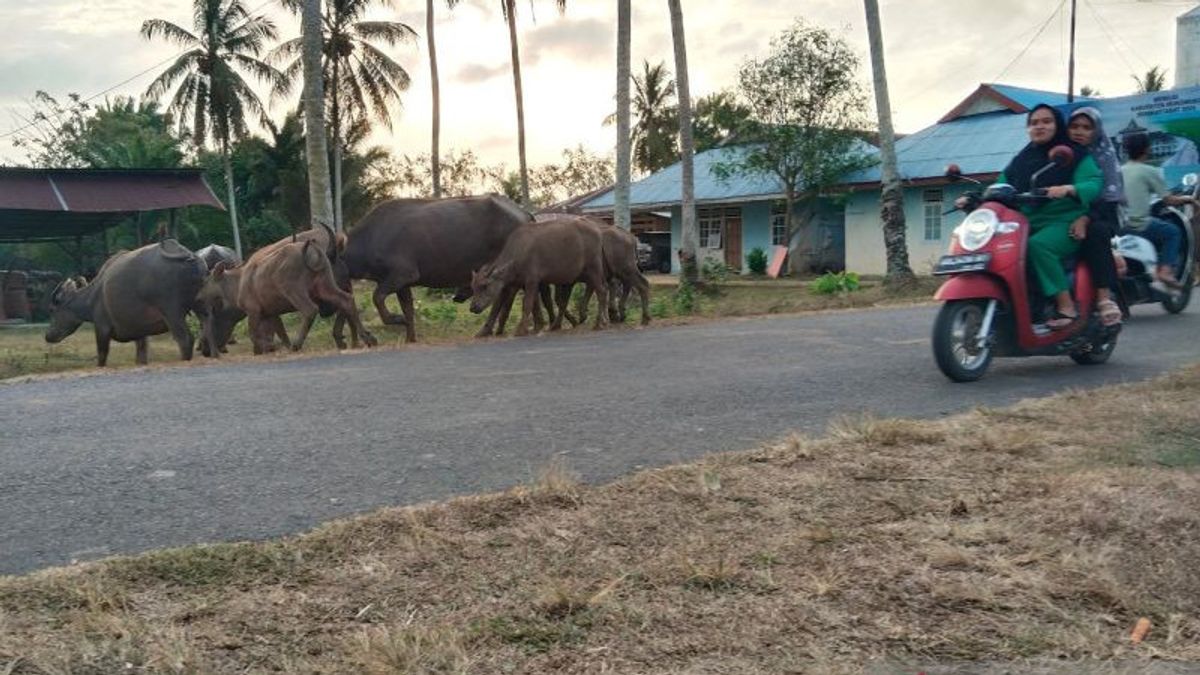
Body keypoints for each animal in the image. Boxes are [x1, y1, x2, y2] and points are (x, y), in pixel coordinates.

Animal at [45, 236, 206, 362]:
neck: (94, 295)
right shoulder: (140, 333)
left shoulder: (102, 327)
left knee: (185, 339)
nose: (48, 336)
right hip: (201, 306)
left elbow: (102, 356)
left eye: (53, 309)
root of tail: (190, 256)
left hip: (172, 312)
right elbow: (141, 355)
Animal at [463, 214, 604, 333]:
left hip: (594, 268)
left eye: (485, 286)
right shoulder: (519, 284)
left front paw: (521, 330)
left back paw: (599, 323)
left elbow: (528, 304)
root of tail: (596, 230)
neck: (519, 251)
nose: (473, 307)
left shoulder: (532, 281)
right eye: (473, 288)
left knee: (601, 291)